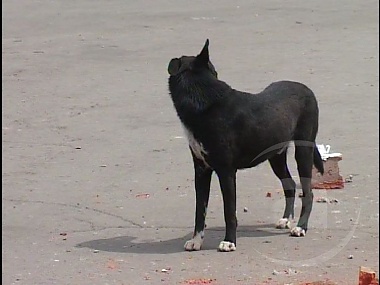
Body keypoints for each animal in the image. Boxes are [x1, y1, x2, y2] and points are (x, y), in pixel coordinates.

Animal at [168, 38, 324, 250]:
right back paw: (286, 220)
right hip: (276, 156)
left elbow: (229, 210)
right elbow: (200, 210)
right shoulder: (201, 170)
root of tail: (307, 89)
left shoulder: (226, 171)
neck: (204, 100)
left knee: (308, 193)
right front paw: (196, 240)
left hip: (304, 151)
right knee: (290, 184)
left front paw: (229, 241)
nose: (217, 73)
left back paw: (300, 227)